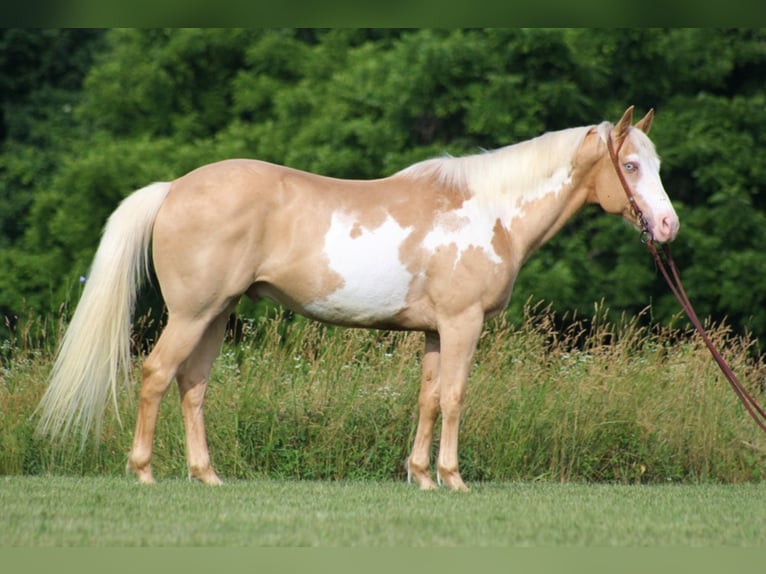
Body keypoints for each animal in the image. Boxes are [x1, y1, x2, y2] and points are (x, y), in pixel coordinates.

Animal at [39, 106, 680, 492]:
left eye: (657, 164)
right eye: (630, 165)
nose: (668, 226)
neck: (490, 212)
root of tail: (174, 188)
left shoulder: (434, 331)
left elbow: (427, 400)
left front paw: (421, 477)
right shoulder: (463, 324)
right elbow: (455, 397)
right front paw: (453, 478)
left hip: (217, 316)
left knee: (192, 387)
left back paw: (208, 476)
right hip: (193, 314)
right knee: (154, 375)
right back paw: (145, 473)